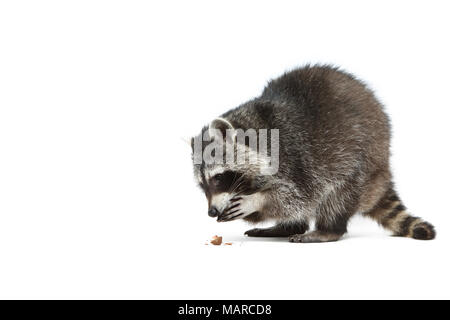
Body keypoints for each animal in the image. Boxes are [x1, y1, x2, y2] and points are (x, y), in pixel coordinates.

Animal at [191, 65, 436, 242]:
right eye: (202, 185)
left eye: (219, 178)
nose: (211, 212)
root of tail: (383, 169)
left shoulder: (296, 154)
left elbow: (297, 197)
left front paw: (257, 200)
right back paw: (287, 227)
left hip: (361, 161)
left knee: (338, 194)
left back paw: (328, 230)